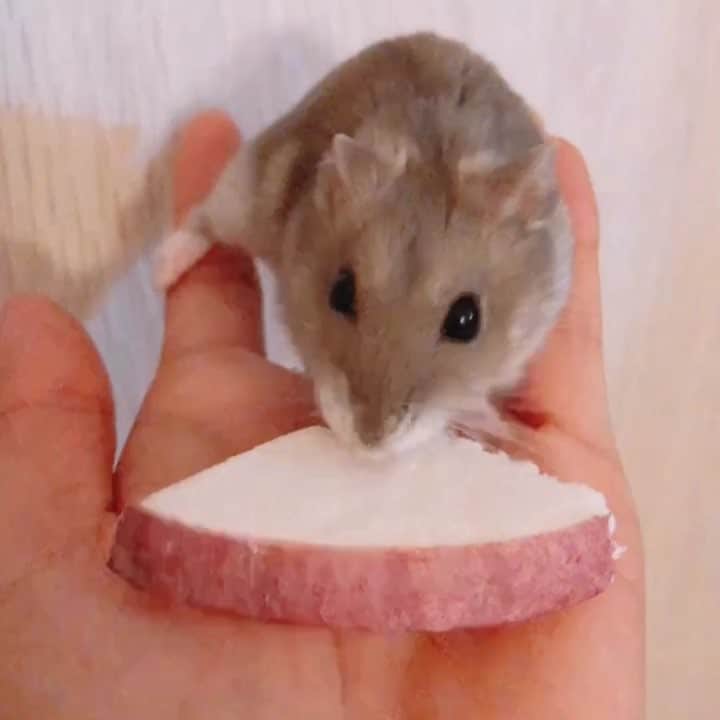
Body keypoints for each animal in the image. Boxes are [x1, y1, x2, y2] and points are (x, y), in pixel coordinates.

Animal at [156, 32, 573, 456]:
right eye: (340, 292)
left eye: (466, 321)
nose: (371, 442)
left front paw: (500, 429)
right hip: (243, 190)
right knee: (204, 219)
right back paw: (163, 271)